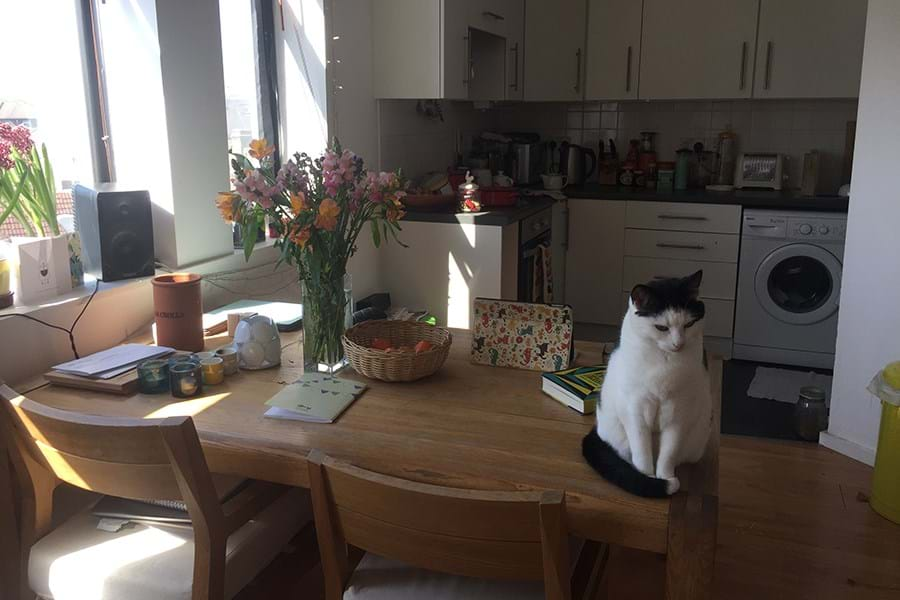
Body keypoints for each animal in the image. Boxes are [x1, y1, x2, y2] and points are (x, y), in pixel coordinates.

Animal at [580, 272, 712, 496]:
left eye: (689, 325)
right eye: (661, 327)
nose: (678, 344)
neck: (665, 362)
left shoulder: (678, 414)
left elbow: (669, 453)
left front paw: (664, 477)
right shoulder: (635, 410)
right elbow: (641, 452)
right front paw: (647, 478)